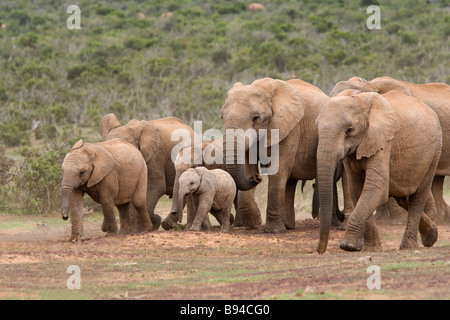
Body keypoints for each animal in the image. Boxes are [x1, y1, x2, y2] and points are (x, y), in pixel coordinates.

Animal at [221, 77, 330, 232]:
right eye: (222, 117)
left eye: (256, 118)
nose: (257, 176)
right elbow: (247, 168)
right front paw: (254, 224)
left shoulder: (291, 128)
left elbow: (278, 171)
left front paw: (273, 230)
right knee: (290, 182)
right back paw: (289, 226)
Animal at [314, 89, 442, 252]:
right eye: (317, 128)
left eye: (349, 130)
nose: (319, 251)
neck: (360, 100)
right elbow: (357, 190)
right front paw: (370, 249)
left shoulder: (383, 141)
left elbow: (376, 187)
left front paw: (348, 246)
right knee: (402, 197)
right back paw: (431, 237)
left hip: (435, 153)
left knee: (417, 198)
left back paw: (409, 247)